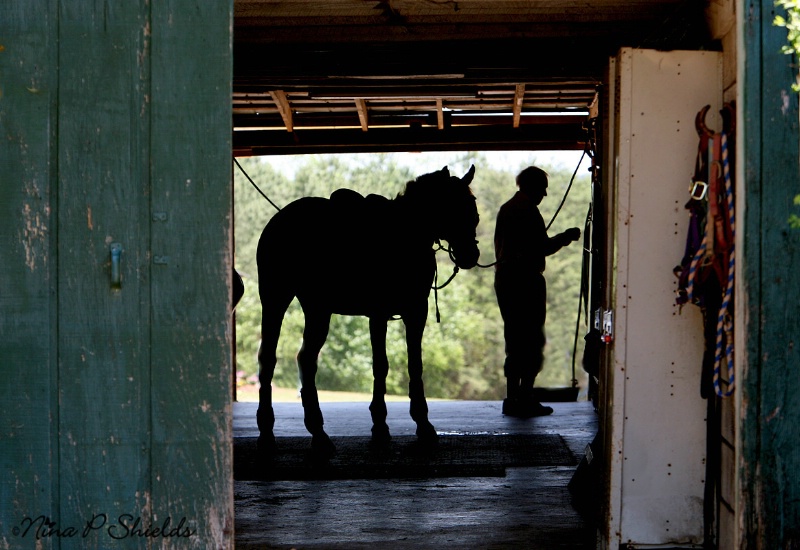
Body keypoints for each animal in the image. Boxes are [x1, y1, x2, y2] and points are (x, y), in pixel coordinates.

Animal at [260, 165, 478, 458]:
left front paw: (422, 424)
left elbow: (415, 365)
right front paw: (380, 425)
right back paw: (267, 431)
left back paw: (318, 433)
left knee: (306, 359)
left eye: (472, 208)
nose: (471, 255)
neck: (403, 236)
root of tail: (279, 219)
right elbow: (380, 365)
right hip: (275, 299)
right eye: (453, 207)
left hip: (317, 309)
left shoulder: (415, 312)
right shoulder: (379, 314)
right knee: (268, 358)